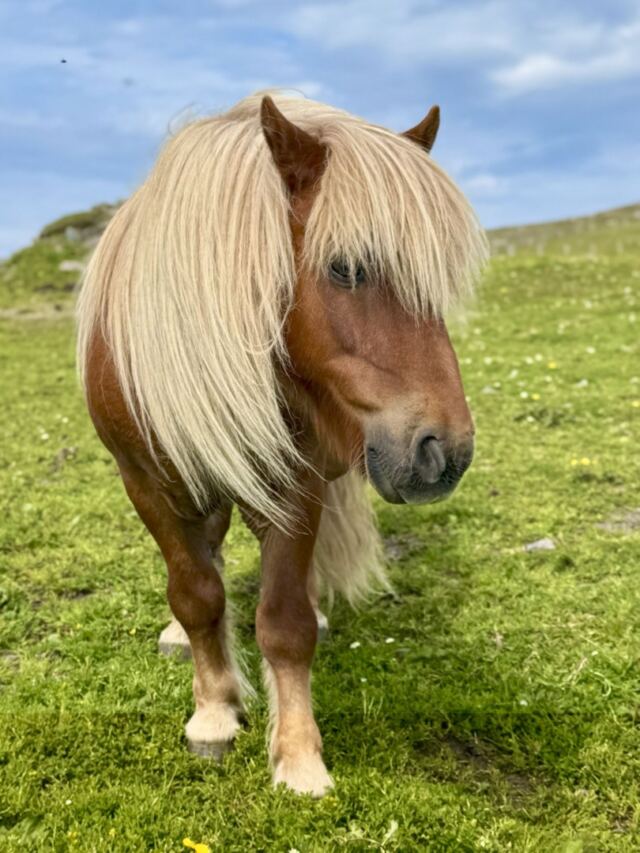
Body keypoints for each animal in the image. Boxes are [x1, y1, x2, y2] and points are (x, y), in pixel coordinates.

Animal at [76, 92, 487, 796]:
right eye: (346, 267)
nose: (445, 453)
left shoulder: (293, 485)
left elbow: (285, 622)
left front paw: (297, 756)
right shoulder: (145, 482)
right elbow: (195, 593)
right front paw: (214, 712)